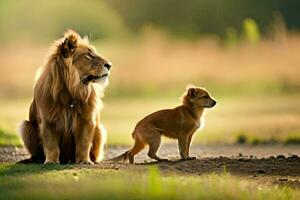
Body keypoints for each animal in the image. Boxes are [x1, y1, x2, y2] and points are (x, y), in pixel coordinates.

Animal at [19, 29, 112, 164]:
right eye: (88, 55)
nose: (110, 65)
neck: (73, 90)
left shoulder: (87, 120)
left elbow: (83, 144)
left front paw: (84, 161)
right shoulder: (48, 121)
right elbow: (51, 146)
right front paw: (51, 162)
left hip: (100, 130)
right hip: (26, 126)